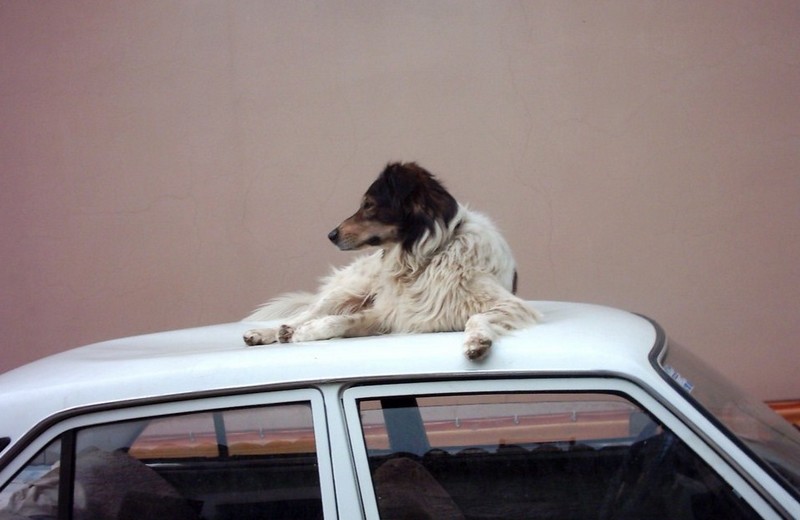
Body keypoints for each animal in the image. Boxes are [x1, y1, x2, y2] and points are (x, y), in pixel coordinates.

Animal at [242, 165, 544, 360]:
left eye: (368, 205)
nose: (330, 235)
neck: (425, 258)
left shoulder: (512, 305)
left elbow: (476, 316)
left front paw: (477, 341)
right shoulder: (391, 312)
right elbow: (335, 321)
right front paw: (301, 333)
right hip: (349, 288)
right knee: (307, 312)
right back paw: (266, 332)